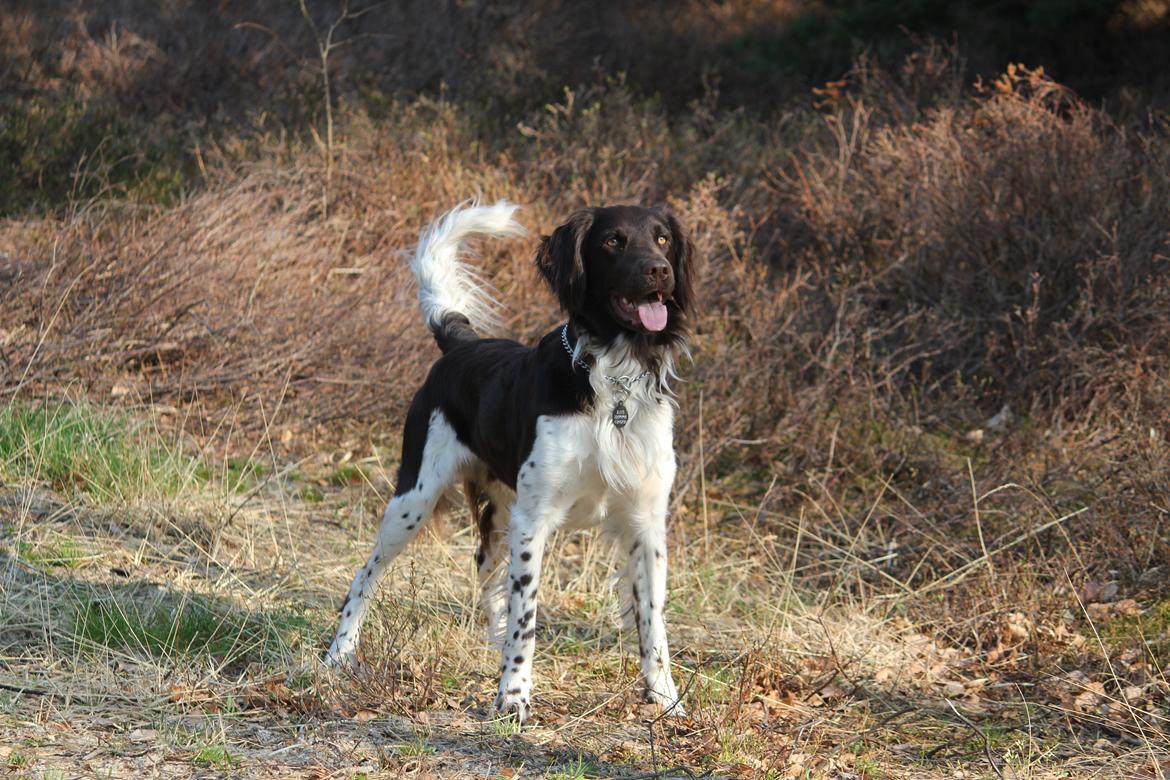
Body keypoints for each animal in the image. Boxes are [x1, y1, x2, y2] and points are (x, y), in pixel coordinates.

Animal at [325, 201, 692, 725]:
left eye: (663, 240)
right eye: (612, 241)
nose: (658, 271)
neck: (612, 382)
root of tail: (462, 344)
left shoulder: (645, 524)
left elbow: (652, 621)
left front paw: (664, 696)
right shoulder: (534, 519)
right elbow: (528, 619)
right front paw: (513, 697)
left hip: (500, 510)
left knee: (486, 566)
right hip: (412, 504)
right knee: (365, 576)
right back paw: (339, 653)